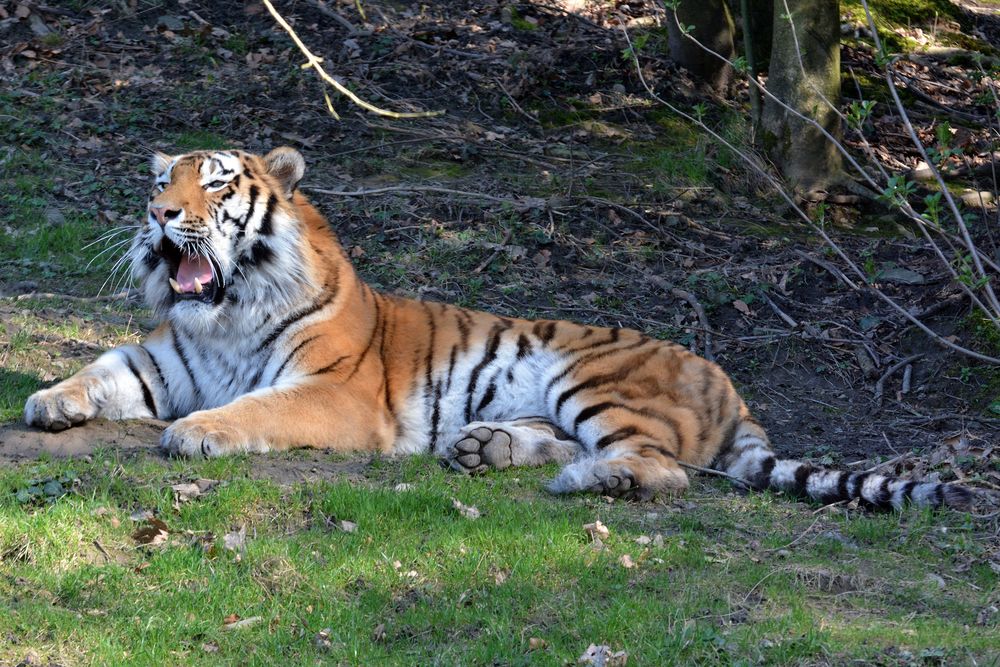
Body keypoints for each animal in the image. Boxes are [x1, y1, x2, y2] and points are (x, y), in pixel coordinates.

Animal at [21, 147, 976, 512]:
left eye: (215, 183)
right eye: (162, 180)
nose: (159, 212)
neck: (222, 310)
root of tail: (734, 393)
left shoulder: (333, 393)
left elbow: (251, 409)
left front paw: (195, 434)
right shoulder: (163, 358)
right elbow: (100, 365)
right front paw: (48, 401)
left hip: (594, 377)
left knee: (663, 469)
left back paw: (589, 482)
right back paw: (483, 449)